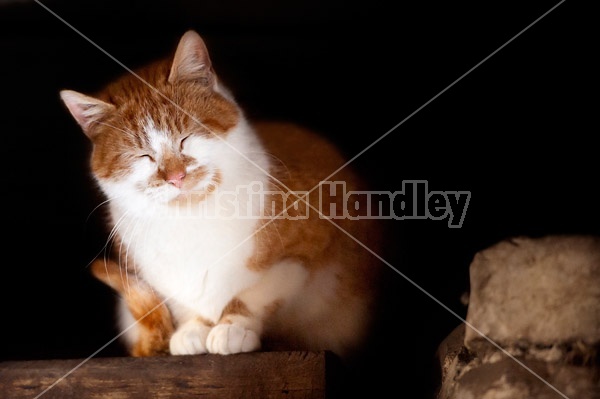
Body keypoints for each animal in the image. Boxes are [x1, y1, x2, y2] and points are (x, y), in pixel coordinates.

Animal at [58, 29, 382, 360]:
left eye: (186, 138)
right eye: (143, 156)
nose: (176, 177)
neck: (192, 216)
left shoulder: (303, 251)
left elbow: (255, 292)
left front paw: (233, 325)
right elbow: (185, 302)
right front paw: (193, 329)